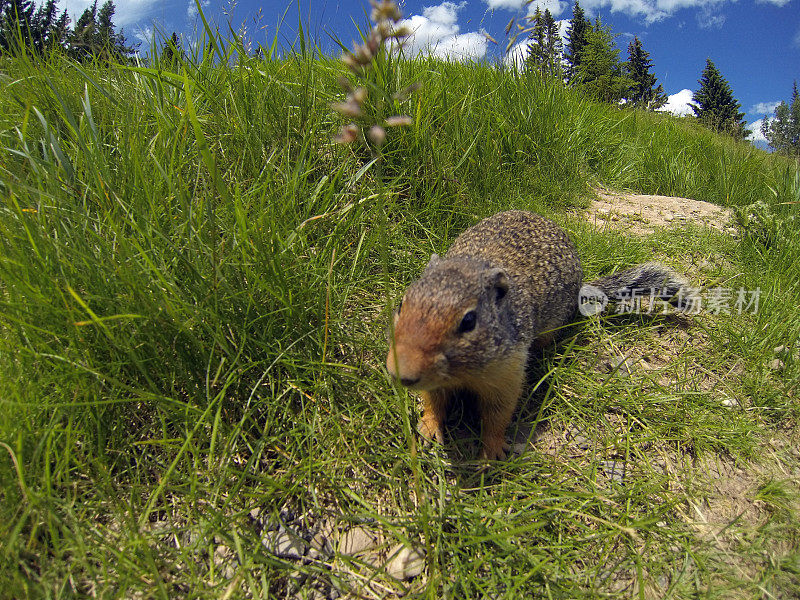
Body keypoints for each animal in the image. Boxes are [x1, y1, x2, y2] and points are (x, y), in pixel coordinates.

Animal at [384, 211, 692, 460]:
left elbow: (498, 414)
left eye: (469, 321)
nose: (401, 373)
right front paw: (428, 427)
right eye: (401, 305)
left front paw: (492, 451)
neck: (464, 372)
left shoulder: (508, 373)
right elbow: (435, 400)